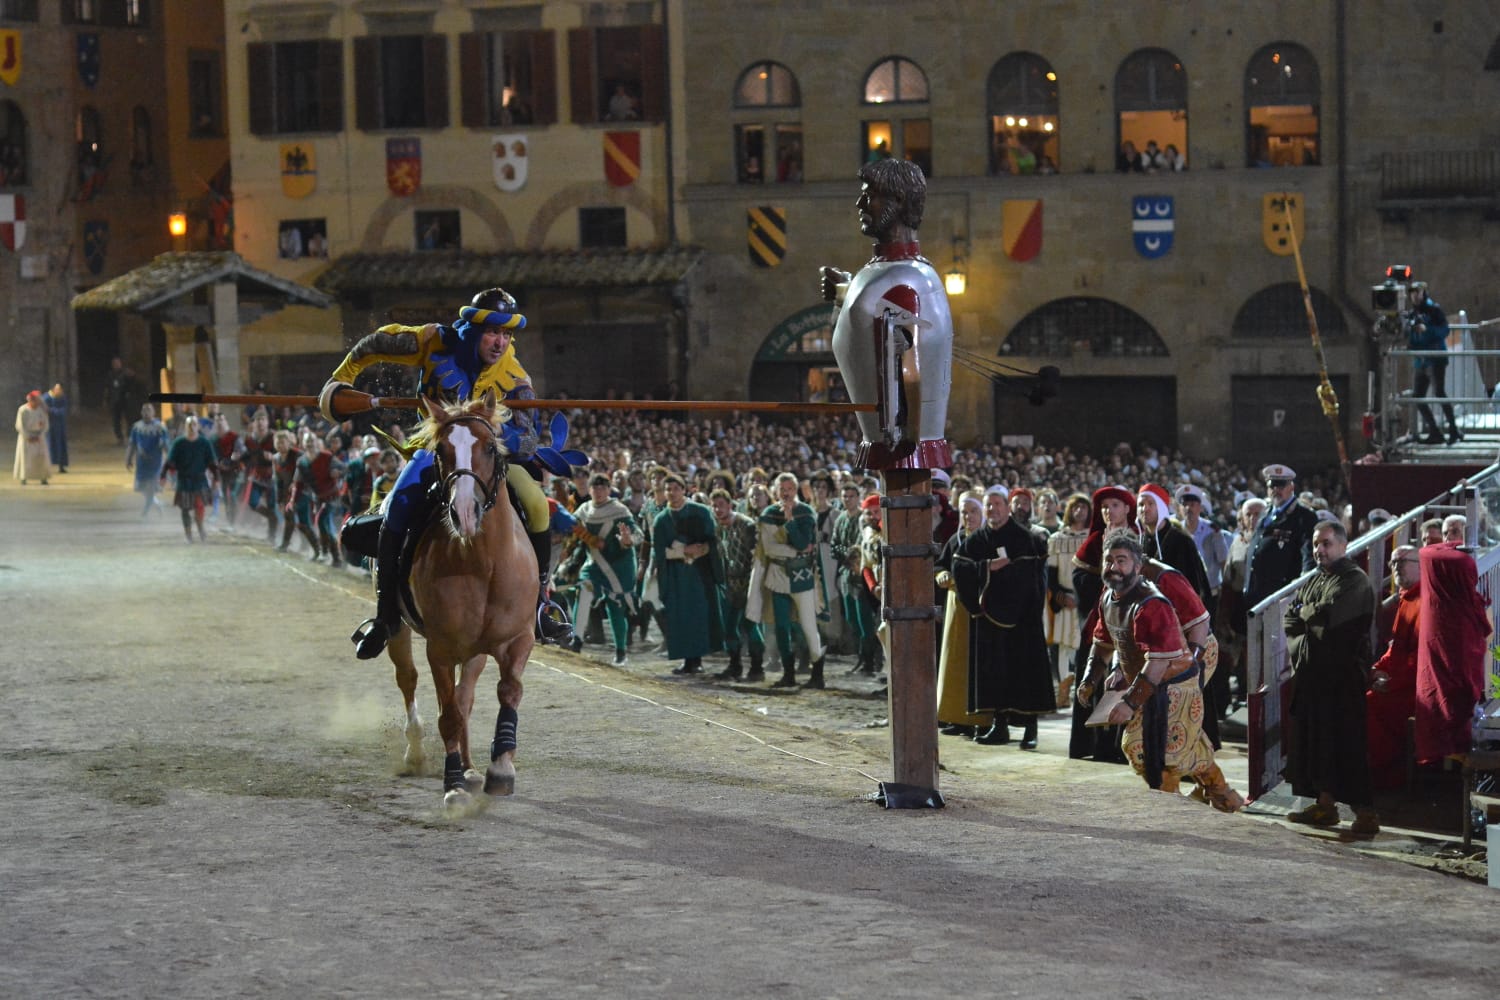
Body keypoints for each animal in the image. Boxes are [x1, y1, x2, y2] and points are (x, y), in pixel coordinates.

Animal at [384, 389, 537, 815]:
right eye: (441, 451)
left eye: (489, 447)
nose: (464, 513)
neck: (482, 563)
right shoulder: (439, 648)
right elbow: (448, 715)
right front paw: (452, 787)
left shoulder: (517, 638)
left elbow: (509, 691)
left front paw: (499, 768)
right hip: (400, 631)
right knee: (409, 679)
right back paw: (417, 753)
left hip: (475, 651)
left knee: (465, 695)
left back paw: (469, 768)